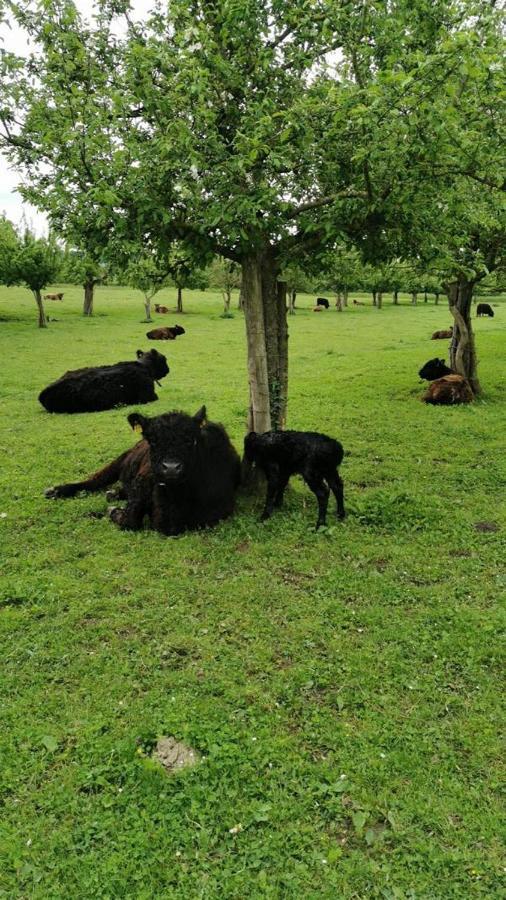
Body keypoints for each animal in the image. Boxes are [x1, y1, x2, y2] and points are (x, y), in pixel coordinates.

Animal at [44, 408, 240, 536]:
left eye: (190, 440)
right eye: (152, 441)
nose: (171, 468)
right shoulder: (142, 482)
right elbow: (131, 520)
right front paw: (113, 511)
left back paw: (113, 493)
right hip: (121, 459)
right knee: (96, 479)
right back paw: (57, 491)